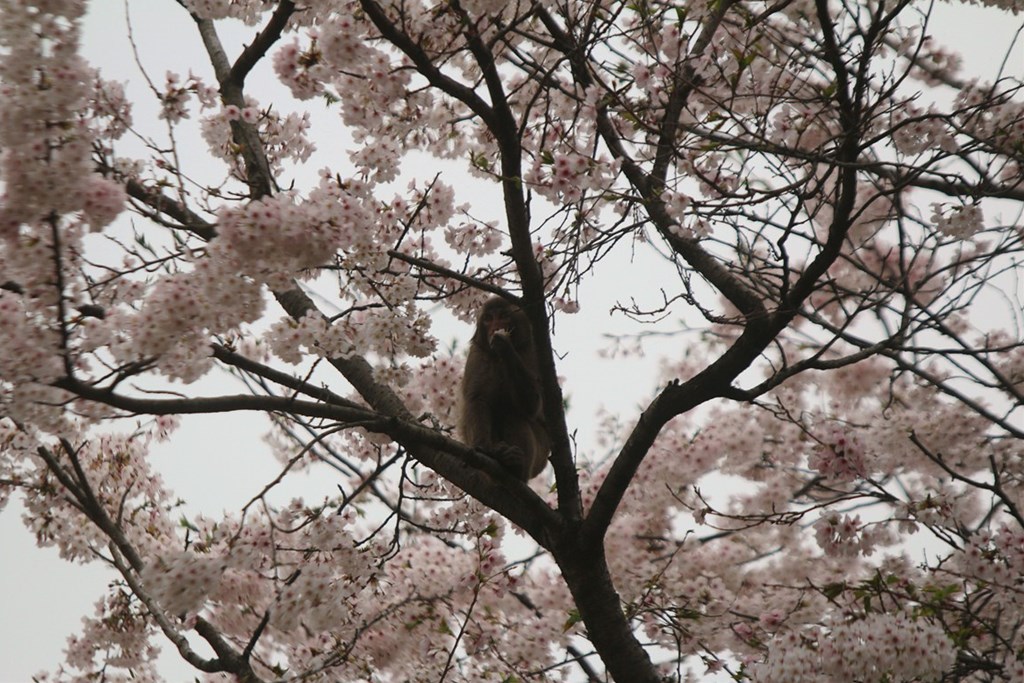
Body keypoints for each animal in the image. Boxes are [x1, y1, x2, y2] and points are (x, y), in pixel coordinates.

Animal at [458, 294, 548, 481]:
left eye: (503, 316)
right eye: (488, 318)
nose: (495, 328)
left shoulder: (534, 352)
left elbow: (532, 406)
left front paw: (505, 346)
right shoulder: (477, 353)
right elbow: (477, 400)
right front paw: (484, 451)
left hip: (539, 459)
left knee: (513, 414)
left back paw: (516, 467)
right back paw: (499, 455)